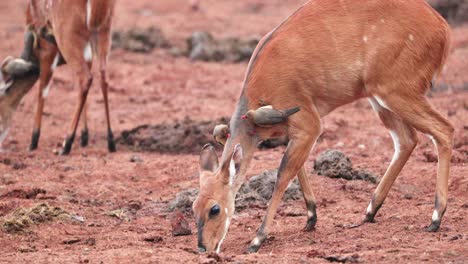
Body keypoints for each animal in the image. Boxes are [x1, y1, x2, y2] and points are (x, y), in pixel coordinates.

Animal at [24, 0, 117, 155]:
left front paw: (33, 141)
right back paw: (111, 142)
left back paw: (66, 144)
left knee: (86, 78)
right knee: (103, 77)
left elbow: (43, 89)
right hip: (102, 34)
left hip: (67, 39)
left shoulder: (47, 46)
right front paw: (85, 136)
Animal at [192, 0, 452, 256]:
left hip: (395, 90)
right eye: (193, 207)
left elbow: (283, 173)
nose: (203, 247)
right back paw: (369, 211)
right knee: (407, 139)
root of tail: (443, 29)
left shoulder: (309, 123)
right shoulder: (292, 131)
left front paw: (257, 239)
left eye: (214, 209)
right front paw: (311, 217)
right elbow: (296, 168)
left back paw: (435, 218)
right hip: (378, 96)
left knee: (443, 129)